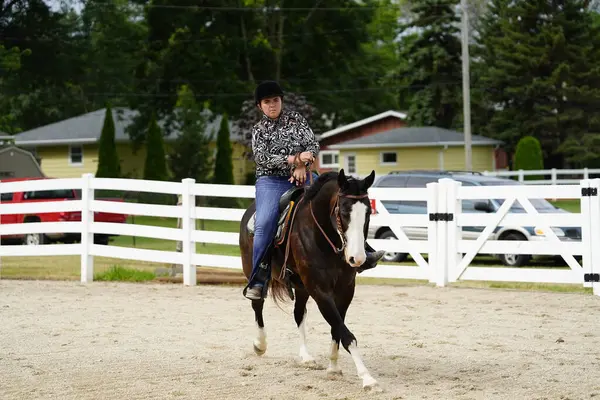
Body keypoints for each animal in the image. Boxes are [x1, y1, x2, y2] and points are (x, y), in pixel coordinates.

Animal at [238, 168, 382, 390]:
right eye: (343, 212)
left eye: (367, 213)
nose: (357, 258)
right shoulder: (319, 290)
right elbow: (346, 334)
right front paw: (367, 378)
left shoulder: (345, 290)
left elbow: (337, 328)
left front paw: (333, 367)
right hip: (253, 273)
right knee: (257, 305)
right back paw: (260, 344)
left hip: (301, 287)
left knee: (298, 314)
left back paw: (306, 356)